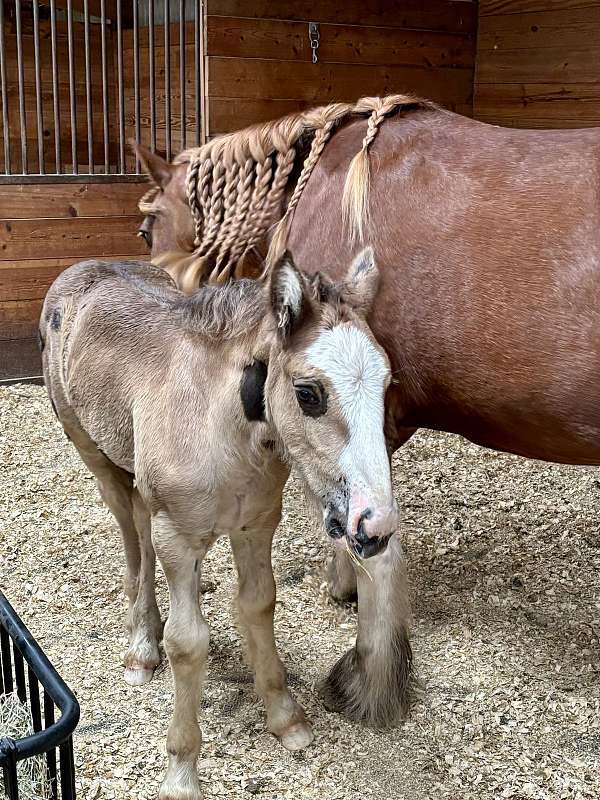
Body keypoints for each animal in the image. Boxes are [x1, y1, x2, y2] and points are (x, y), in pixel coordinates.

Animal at [41, 250, 398, 800]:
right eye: (308, 394)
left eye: (386, 384)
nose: (374, 523)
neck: (221, 427)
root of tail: (86, 265)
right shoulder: (179, 538)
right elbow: (188, 643)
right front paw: (181, 772)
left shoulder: (256, 525)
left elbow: (259, 605)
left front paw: (285, 717)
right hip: (97, 457)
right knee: (132, 540)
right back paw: (141, 644)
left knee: (140, 525)